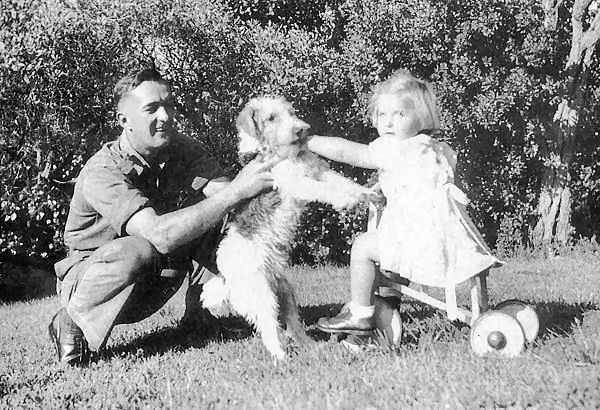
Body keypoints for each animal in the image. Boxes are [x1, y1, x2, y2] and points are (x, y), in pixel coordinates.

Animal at [202, 96, 370, 358]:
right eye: (271, 118)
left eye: (291, 112)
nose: (303, 130)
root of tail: (226, 278)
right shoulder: (296, 182)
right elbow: (324, 189)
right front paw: (346, 200)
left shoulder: (318, 170)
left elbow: (341, 182)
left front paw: (363, 194)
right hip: (262, 294)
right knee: (269, 328)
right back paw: (280, 357)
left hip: (285, 291)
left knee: (293, 326)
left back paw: (313, 347)